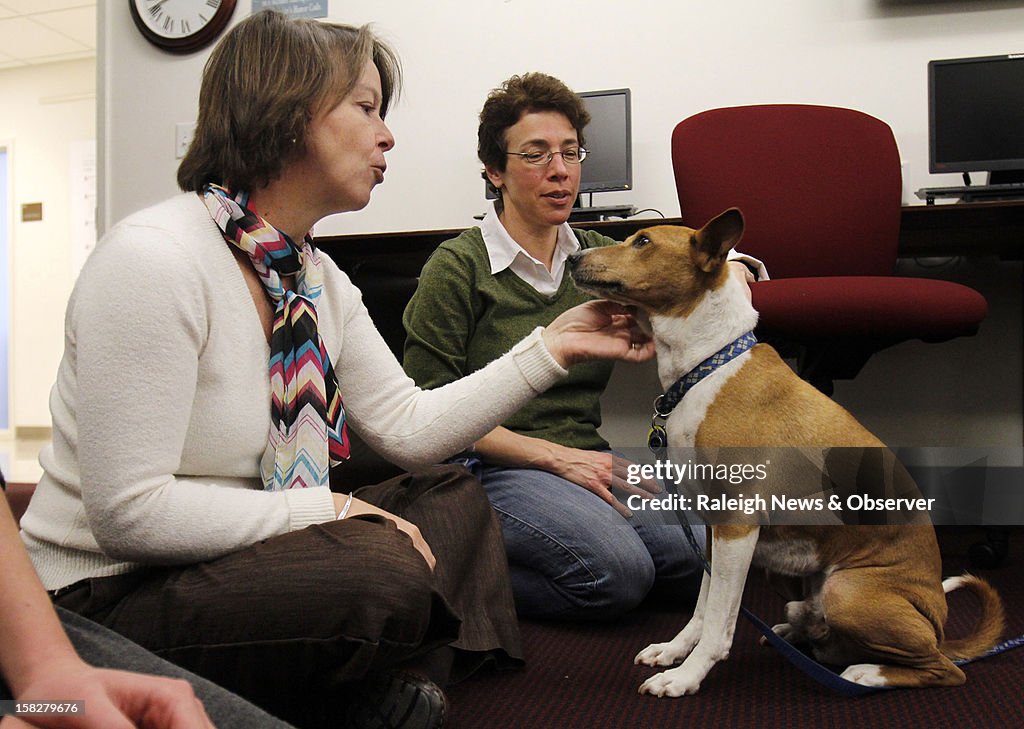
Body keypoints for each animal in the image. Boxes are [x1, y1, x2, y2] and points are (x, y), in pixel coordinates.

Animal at [569, 208, 1007, 696]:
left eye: (642, 242)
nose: (571, 256)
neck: (706, 368)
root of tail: (940, 625)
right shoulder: (713, 529)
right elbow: (702, 608)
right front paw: (673, 652)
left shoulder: (736, 524)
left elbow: (719, 621)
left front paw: (687, 676)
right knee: (826, 633)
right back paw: (796, 631)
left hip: (847, 592)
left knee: (943, 668)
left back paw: (868, 672)